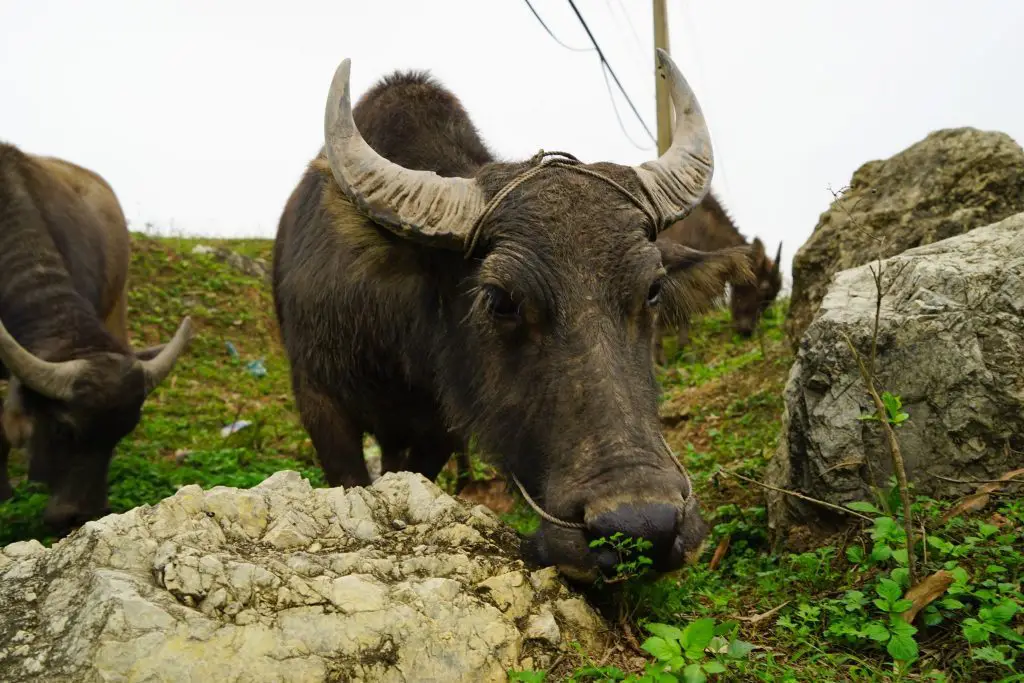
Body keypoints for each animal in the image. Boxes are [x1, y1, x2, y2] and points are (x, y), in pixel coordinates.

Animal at [272, 49, 753, 581]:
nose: (644, 522)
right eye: (500, 299)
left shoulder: (442, 427)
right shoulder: (319, 401)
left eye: (652, 290)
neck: (396, 343)